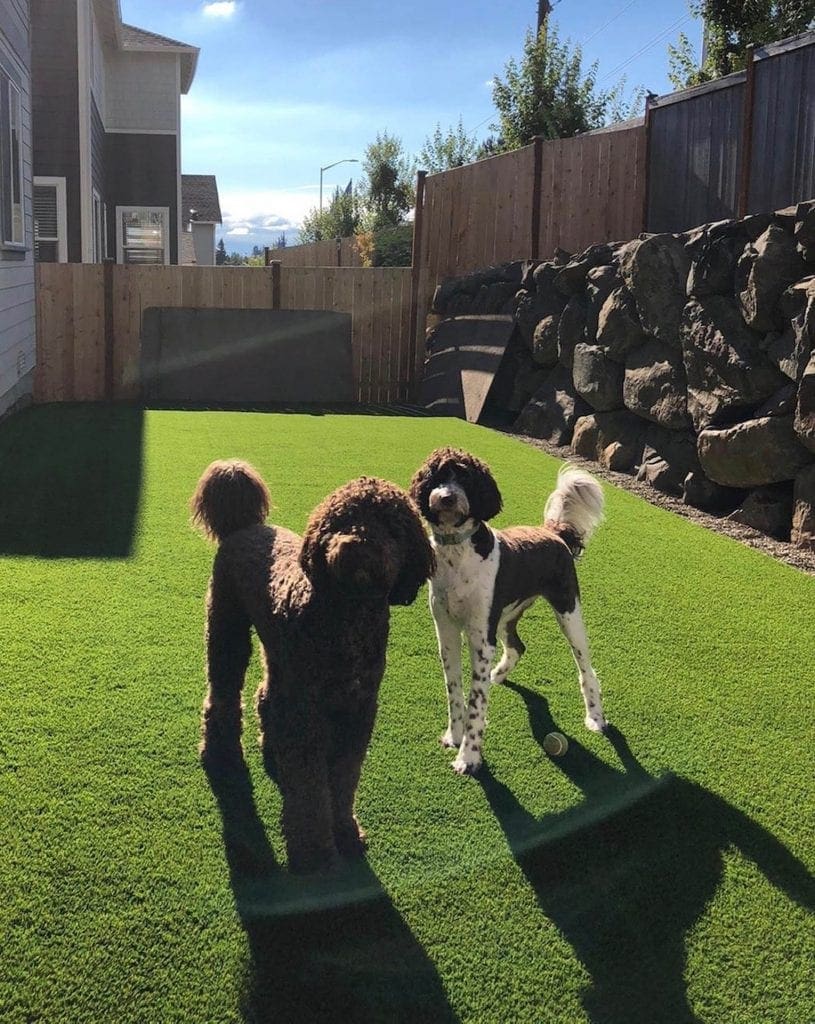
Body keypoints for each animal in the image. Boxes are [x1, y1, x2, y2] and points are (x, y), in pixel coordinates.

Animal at [191, 459, 434, 872]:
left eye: (391, 527)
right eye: (342, 520)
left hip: (280, 656)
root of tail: (245, 526)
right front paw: (315, 851)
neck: (347, 613)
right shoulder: (307, 713)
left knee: (267, 694)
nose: (356, 546)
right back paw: (219, 754)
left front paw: (346, 832)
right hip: (227, 628)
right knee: (222, 692)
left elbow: (344, 779)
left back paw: (269, 746)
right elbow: (309, 787)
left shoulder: (357, 711)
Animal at [410, 448, 606, 775]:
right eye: (437, 476)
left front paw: (469, 757)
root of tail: (553, 533)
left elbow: (476, 702)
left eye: (466, 477)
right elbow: (455, 691)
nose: (447, 497)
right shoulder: (446, 631)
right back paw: (497, 675)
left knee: (587, 669)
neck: (458, 554)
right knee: (517, 646)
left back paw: (596, 718)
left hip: (568, 612)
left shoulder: (480, 637)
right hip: (504, 617)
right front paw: (454, 736)